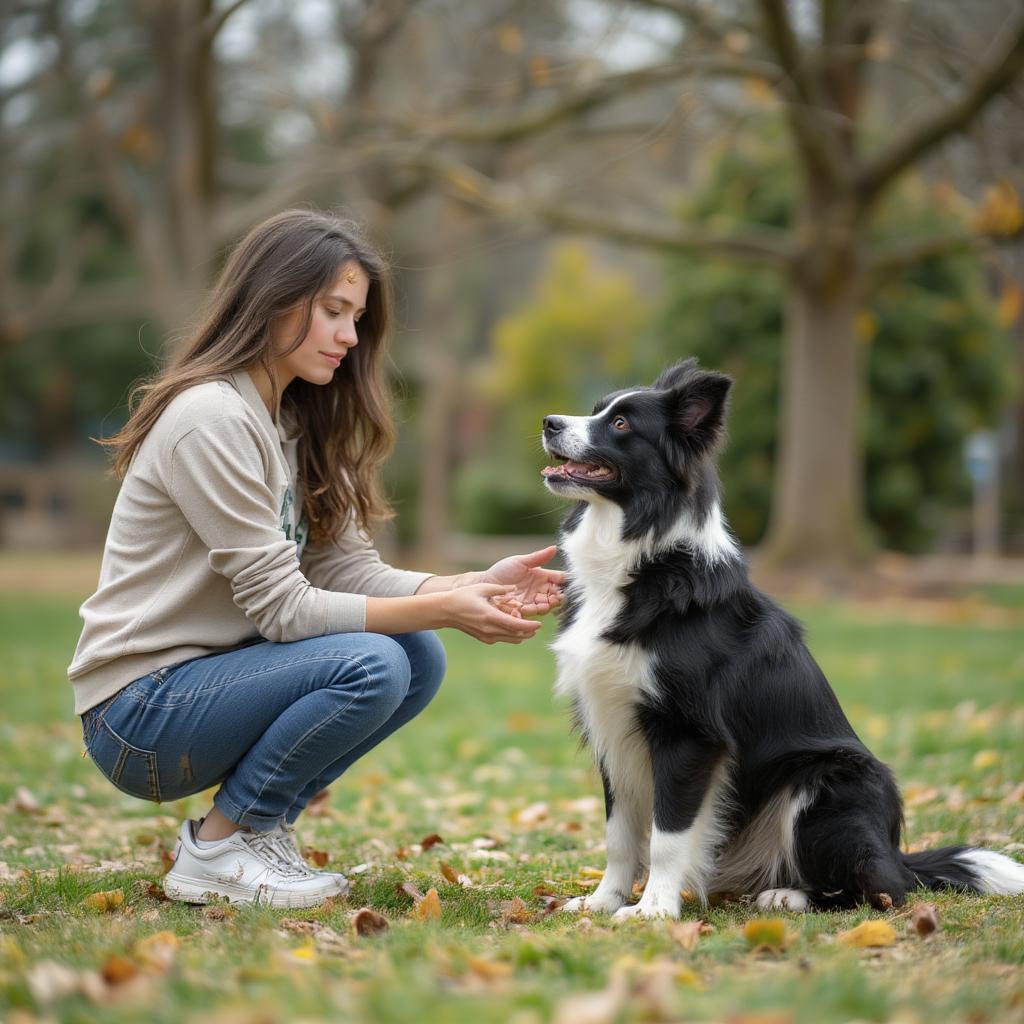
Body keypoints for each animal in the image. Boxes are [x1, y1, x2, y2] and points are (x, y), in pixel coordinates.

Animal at [540, 360, 1019, 921]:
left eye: (620, 424)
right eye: (596, 410)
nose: (549, 422)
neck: (643, 560)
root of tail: (897, 852)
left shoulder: (688, 735)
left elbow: (667, 835)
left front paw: (654, 911)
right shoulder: (612, 725)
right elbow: (619, 834)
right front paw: (602, 902)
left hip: (825, 783)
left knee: (884, 889)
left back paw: (790, 895)